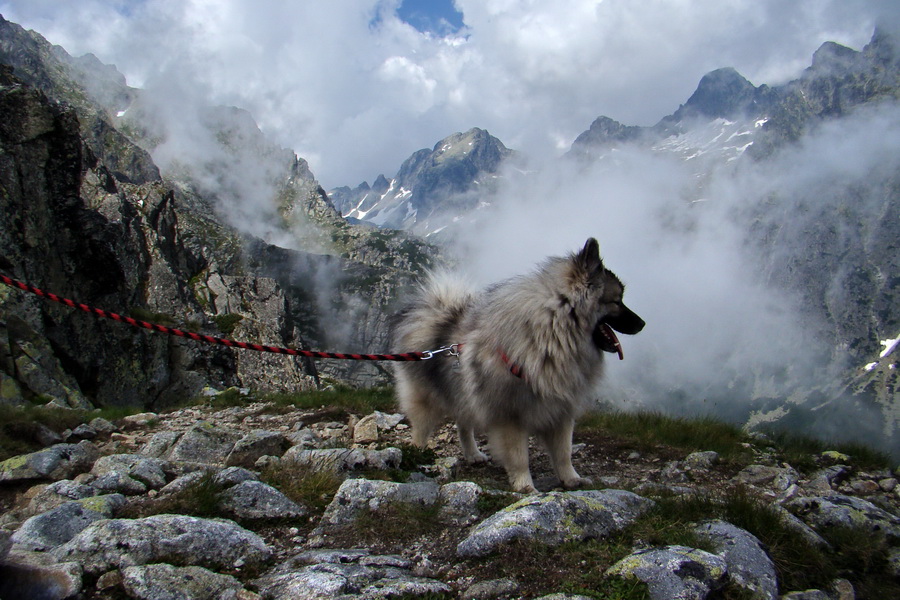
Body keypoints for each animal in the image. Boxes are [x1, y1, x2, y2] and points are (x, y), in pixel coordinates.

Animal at [390, 238, 644, 492]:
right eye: (617, 301)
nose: (643, 323)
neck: (551, 337)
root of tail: (437, 315)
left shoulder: (561, 412)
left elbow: (564, 453)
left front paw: (571, 479)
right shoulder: (510, 417)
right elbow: (519, 456)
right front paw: (525, 486)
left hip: (463, 394)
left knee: (463, 425)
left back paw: (473, 454)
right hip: (427, 400)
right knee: (421, 430)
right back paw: (418, 454)